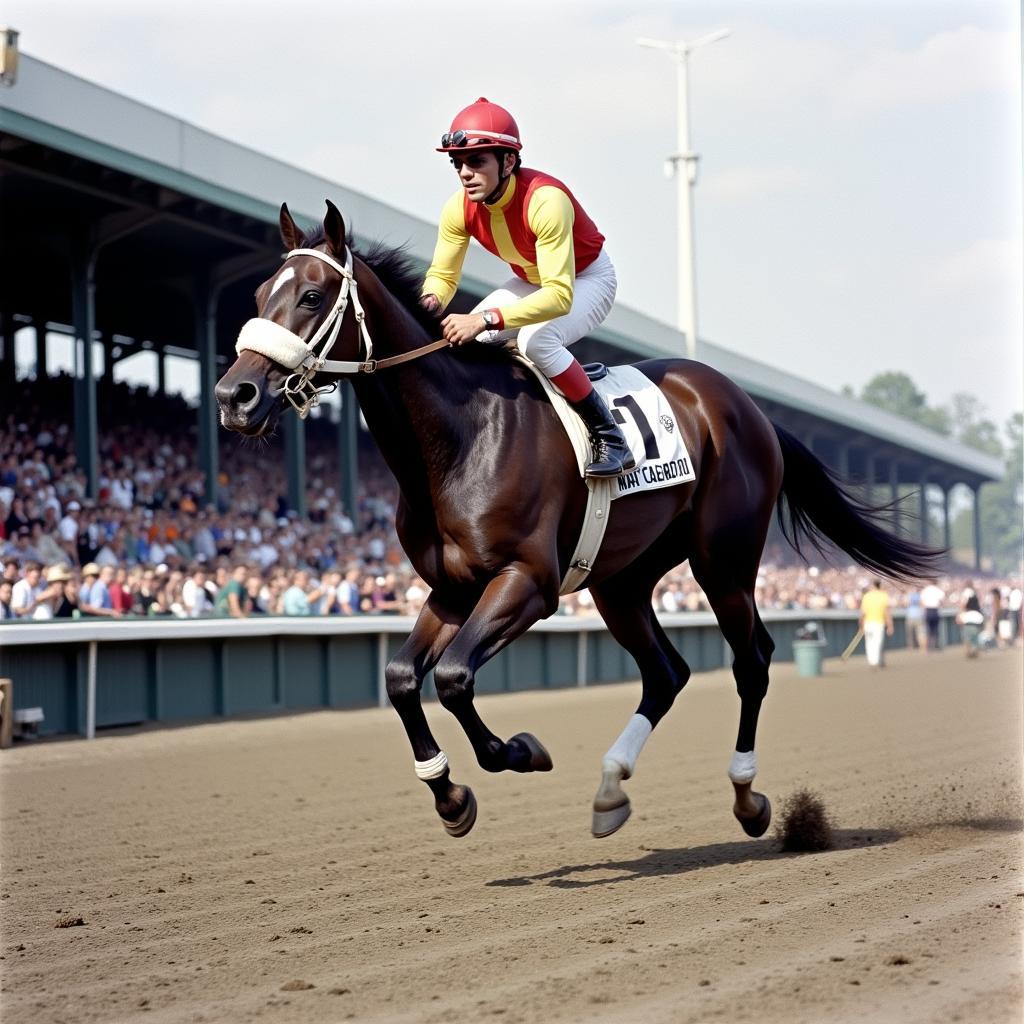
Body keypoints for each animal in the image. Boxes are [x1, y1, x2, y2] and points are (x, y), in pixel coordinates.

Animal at [218, 199, 942, 839]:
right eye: (258, 294)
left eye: (312, 297)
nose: (234, 395)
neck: (459, 439)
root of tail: (748, 405)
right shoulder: (453, 589)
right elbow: (401, 679)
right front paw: (449, 795)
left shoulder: (528, 582)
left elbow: (452, 678)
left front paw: (519, 752)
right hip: (621, 580)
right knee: (667, 672)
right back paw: (611, 788)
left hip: (724, 560)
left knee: (752, 660)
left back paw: (747, 798)